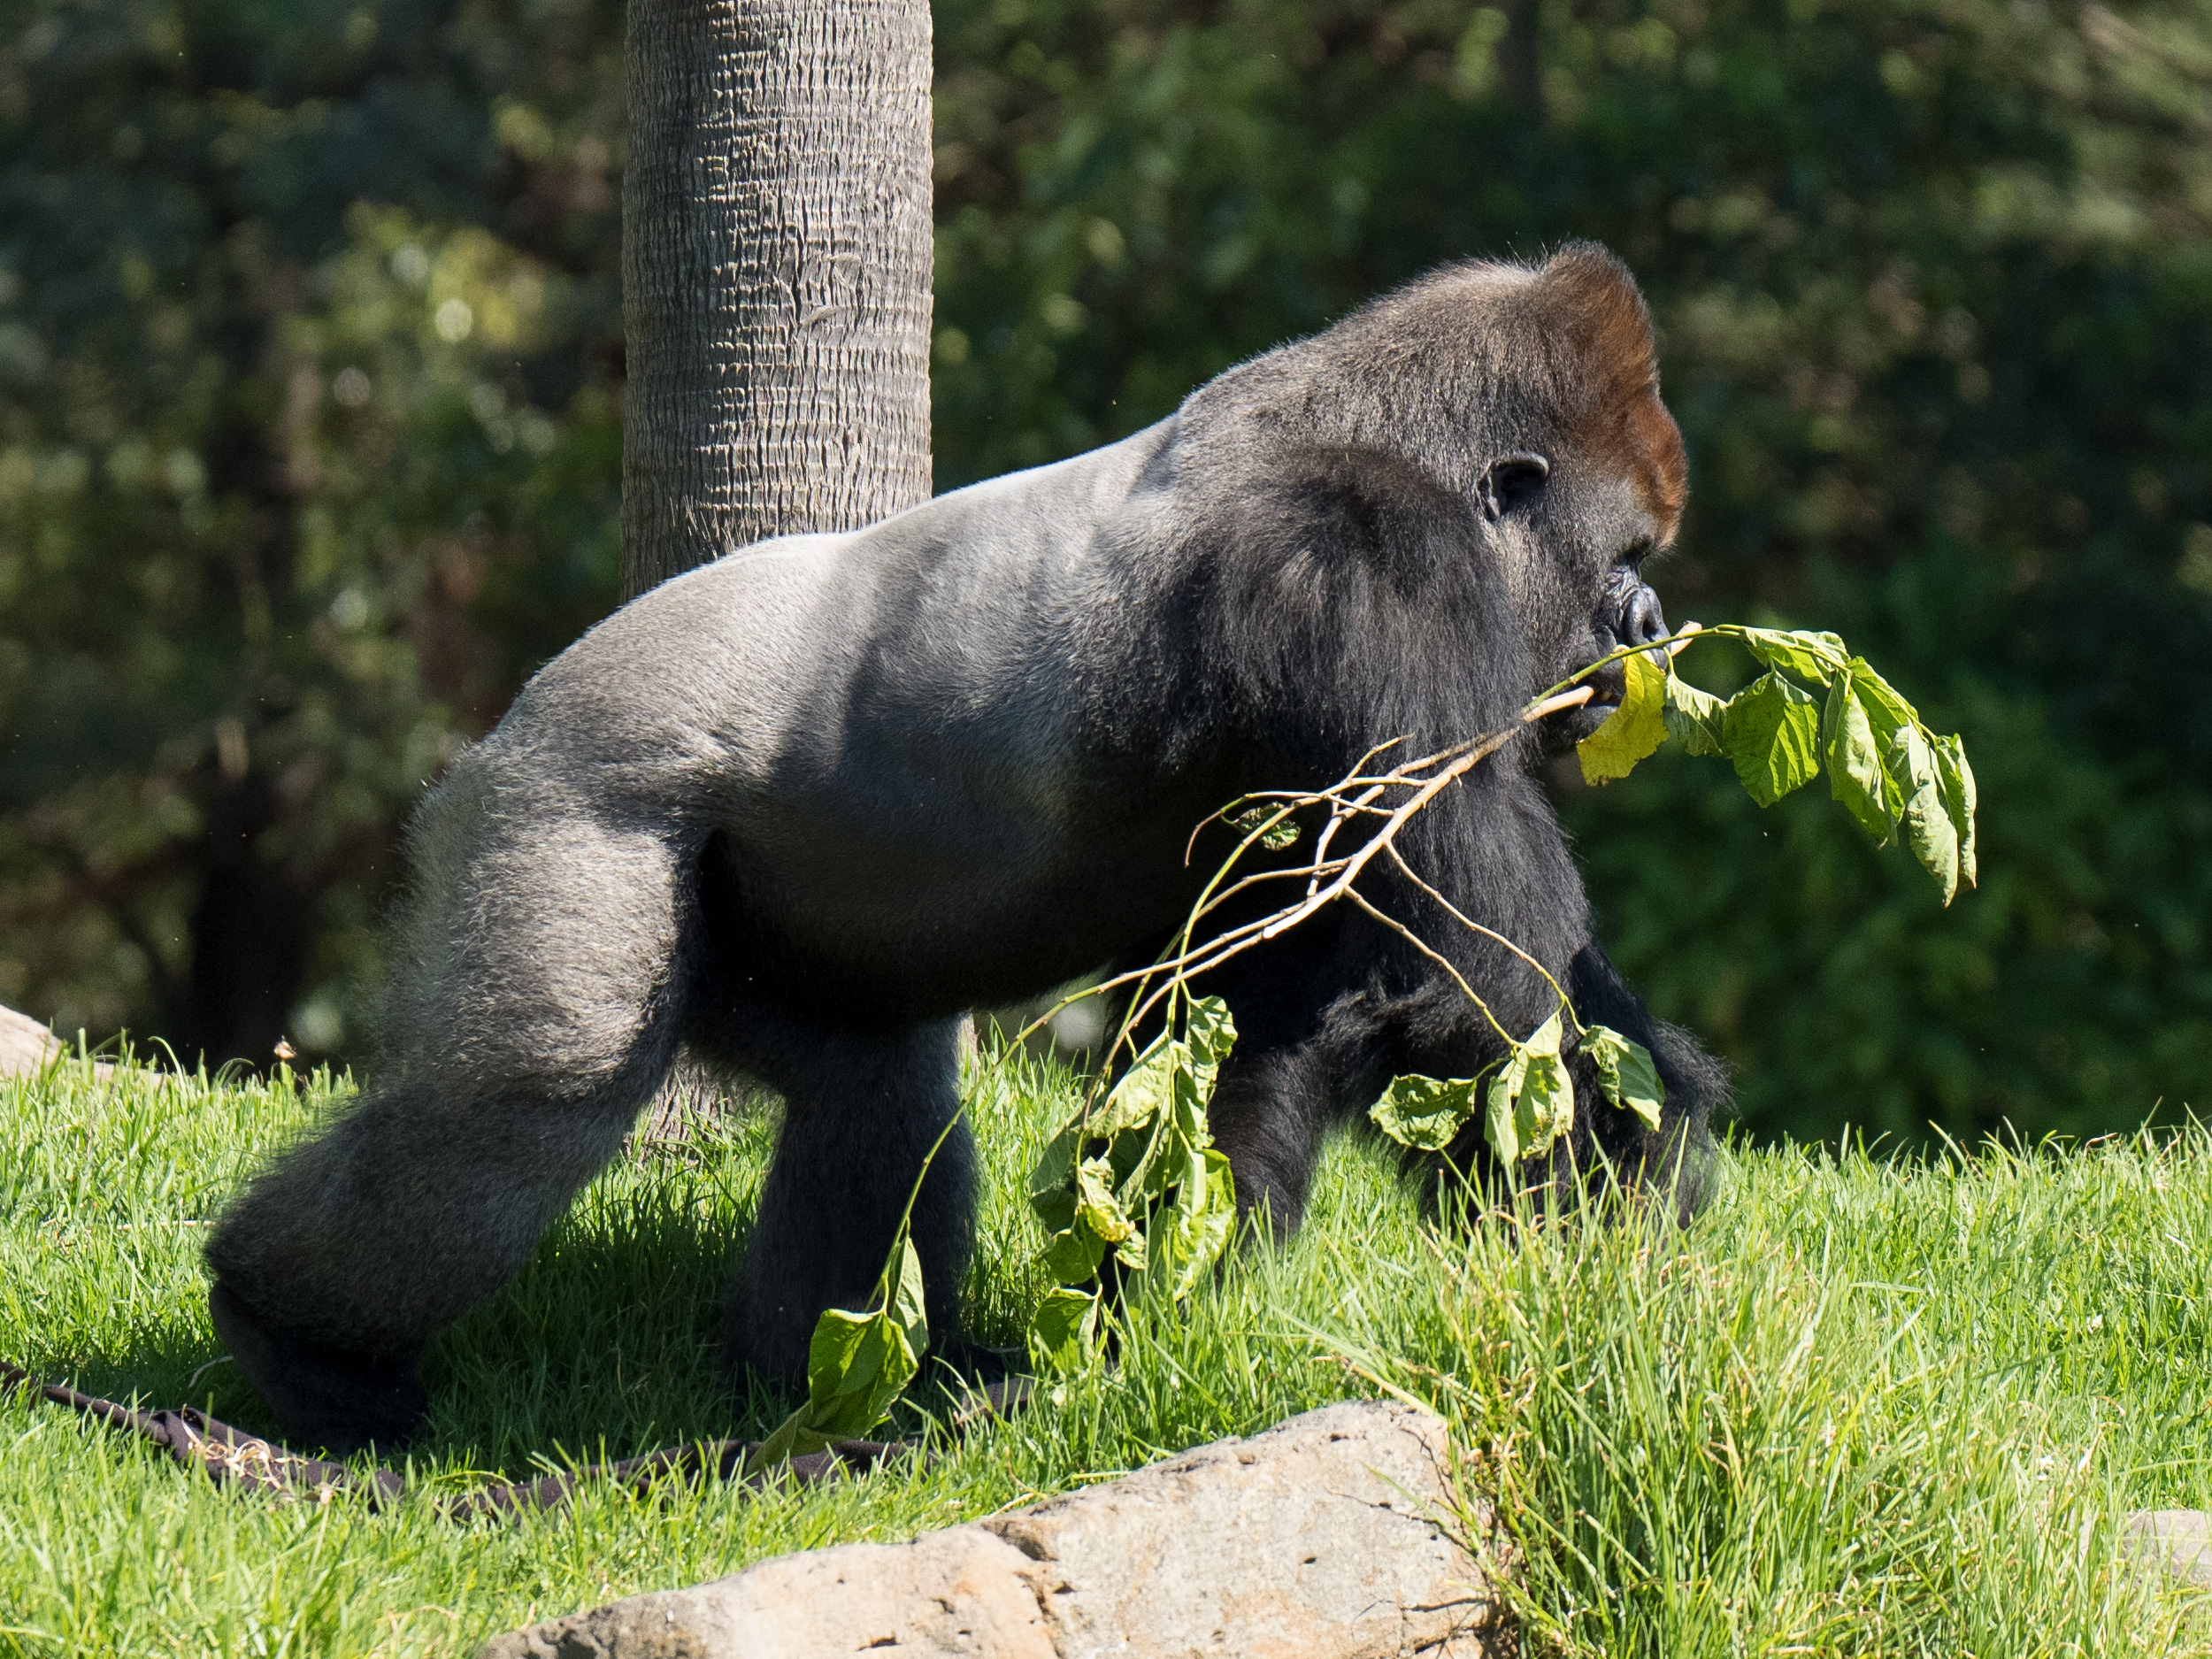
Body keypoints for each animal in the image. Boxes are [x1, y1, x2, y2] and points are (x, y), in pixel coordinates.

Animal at [208, 243, 1725, 1451]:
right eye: (1623, 560)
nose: (1651, 627)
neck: (1377, 432)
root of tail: (493, 732)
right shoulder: (1370, 564)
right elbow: (1478, 996)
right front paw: (1608, 1272)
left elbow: (1265, 1018)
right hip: (559, 798)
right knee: (532, 1089)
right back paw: (292, 1333)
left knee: (872, 1095)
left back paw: (836, 1384)